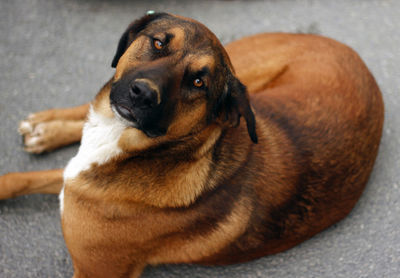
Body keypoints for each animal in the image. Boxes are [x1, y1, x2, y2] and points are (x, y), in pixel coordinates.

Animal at [0, 12, 384, 278]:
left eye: (199, 82)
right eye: (158, 43)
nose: (142, 94)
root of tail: (351, 52)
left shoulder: (95, 270)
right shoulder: (76, 172)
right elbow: (19, 178)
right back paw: (44, 127)